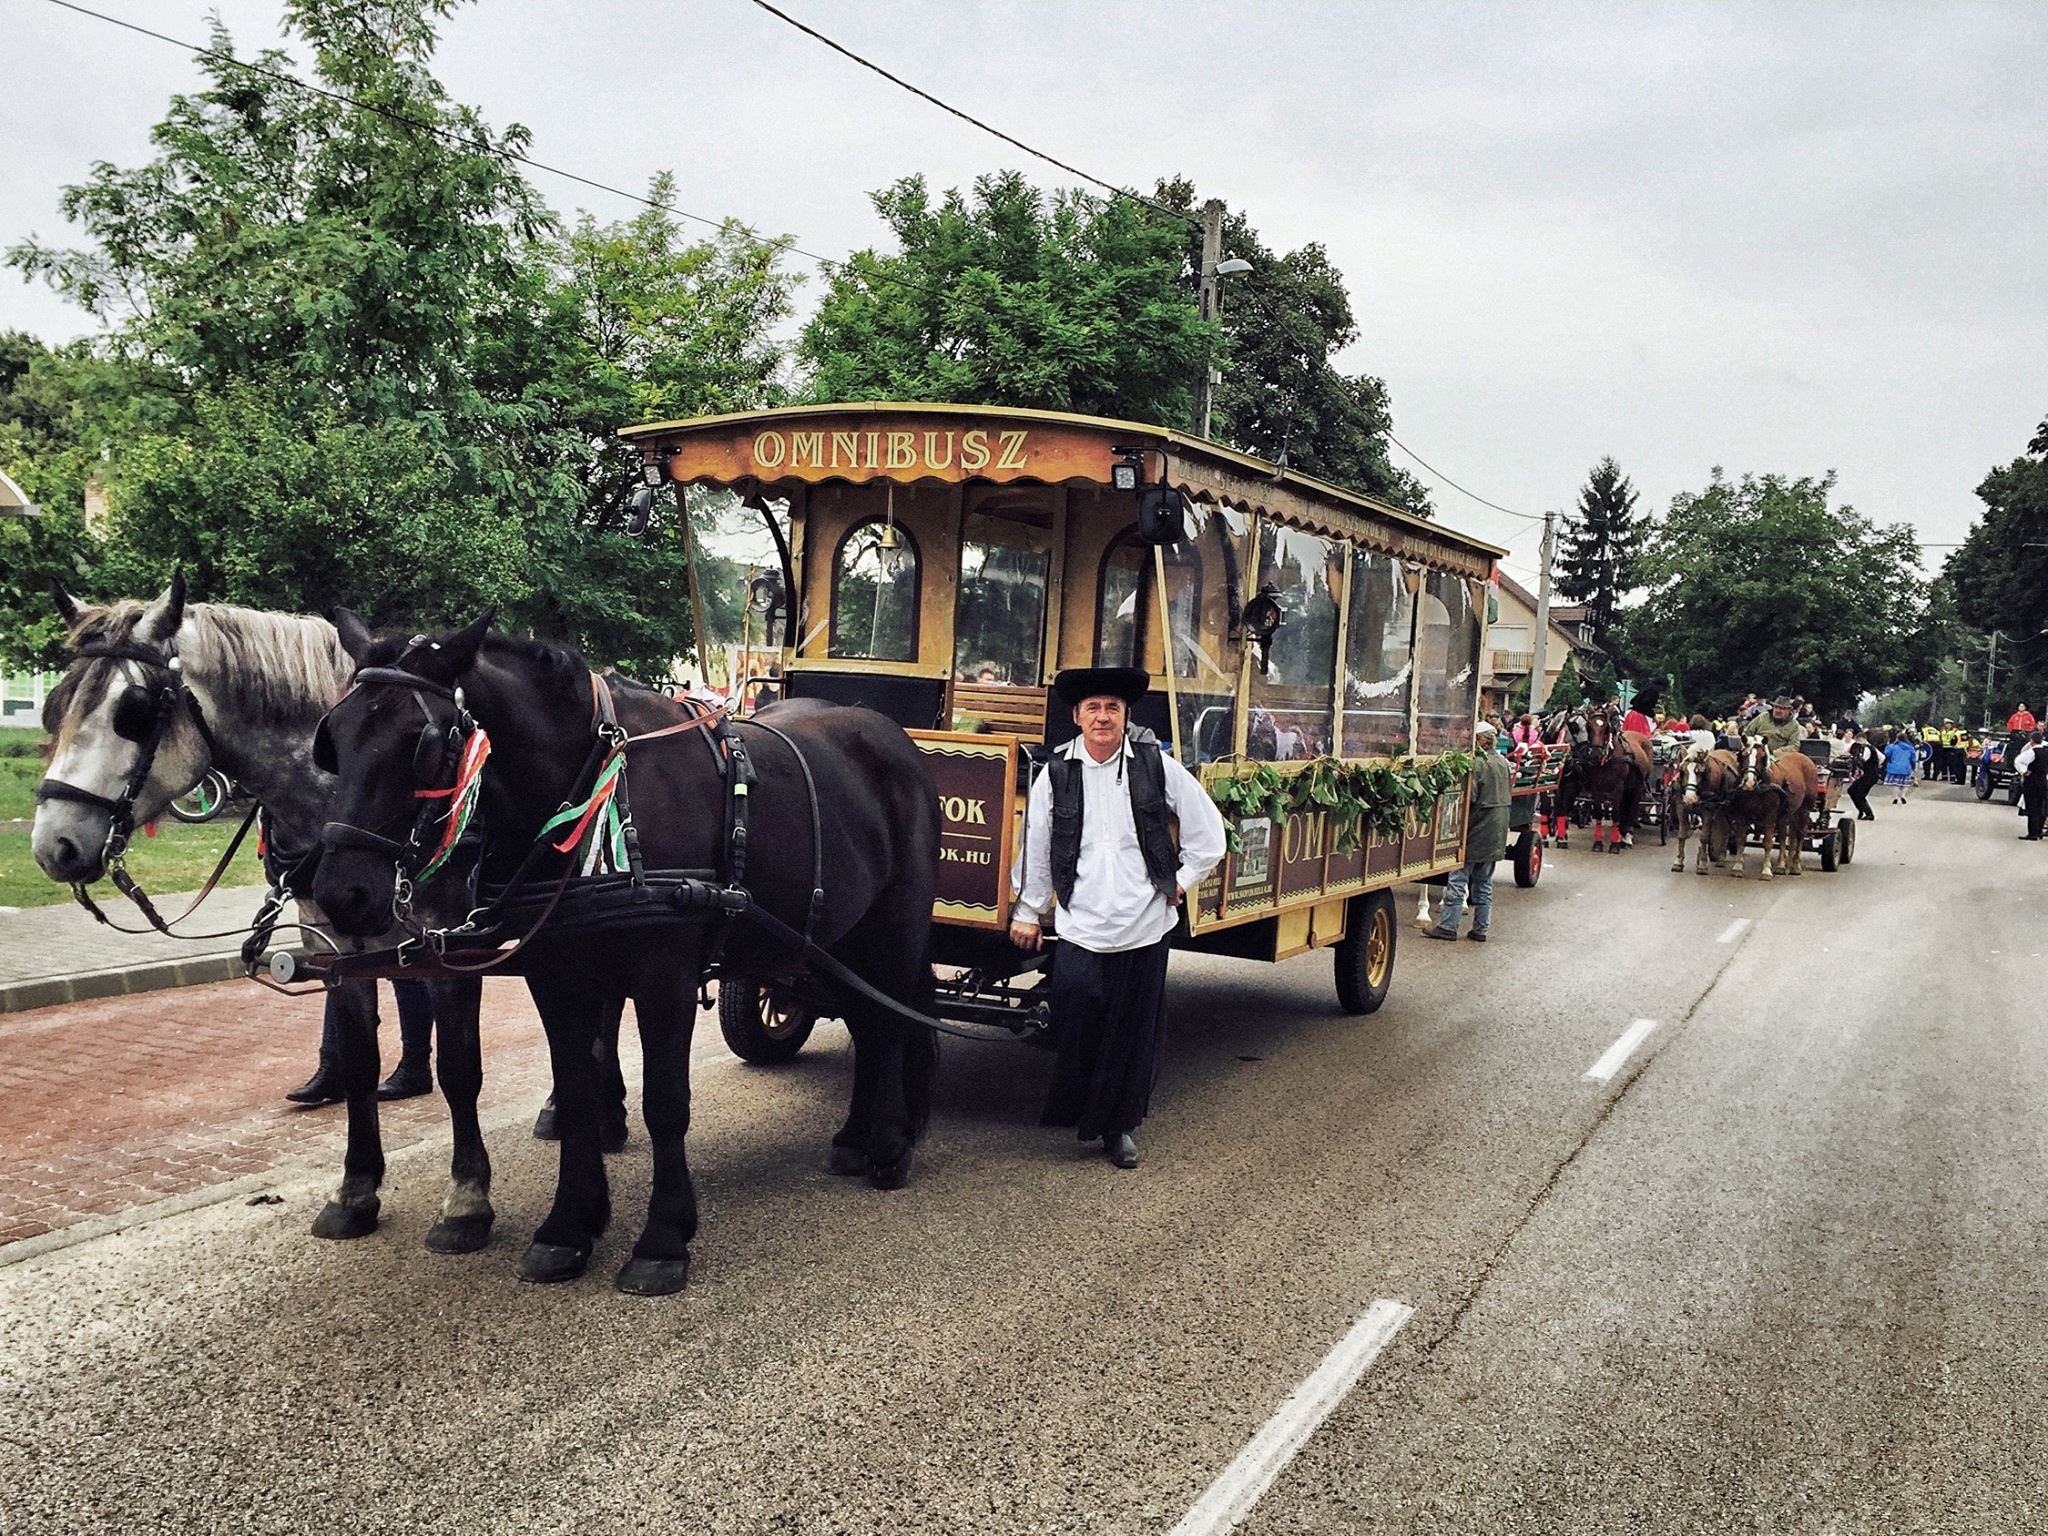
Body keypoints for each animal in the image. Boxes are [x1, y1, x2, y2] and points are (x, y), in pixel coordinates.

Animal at [313, 618, 942, 1302]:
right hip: (833, 940)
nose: (340, 894)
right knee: (866, 1023)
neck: (590, 784)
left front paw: (662, 1238)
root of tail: (893, 737)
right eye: (334, 738)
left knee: (891, 1022)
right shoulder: (555, 977)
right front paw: (568, 1226)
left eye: (420, 743)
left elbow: (664, 1101)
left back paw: (889, 1144)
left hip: (896, 928)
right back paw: (854, 1138)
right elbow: (576, 1093)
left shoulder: (664, 977)